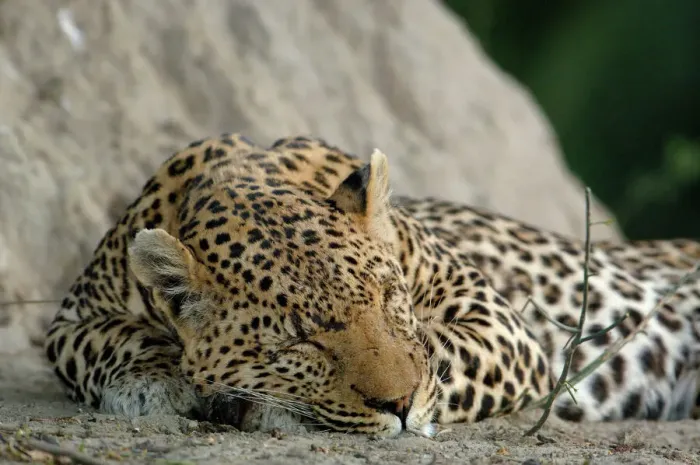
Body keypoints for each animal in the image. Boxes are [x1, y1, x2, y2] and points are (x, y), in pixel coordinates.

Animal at [44, 133, 700, 437]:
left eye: (391, 301)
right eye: (302, 344)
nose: (400, 408)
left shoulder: (499, 323)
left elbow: (442, 354)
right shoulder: (71, 319)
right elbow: (105, 342)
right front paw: (151, 381)